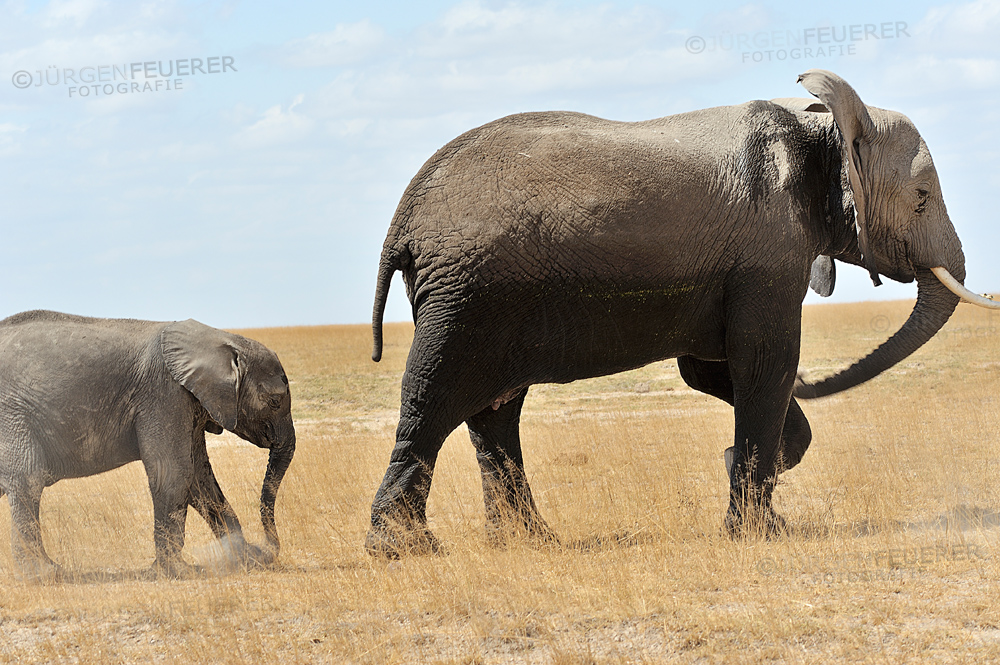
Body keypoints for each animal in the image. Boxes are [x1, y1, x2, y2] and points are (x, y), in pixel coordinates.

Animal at [0, 308, 294, 580]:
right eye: (275, 402)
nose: (262, 549)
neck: (220, 339)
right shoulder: (164, 393)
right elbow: (174, 472)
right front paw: (180, 571)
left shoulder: (188, 401)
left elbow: (200, 479)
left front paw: (243, 558)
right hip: (13, 416)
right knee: (28, 481)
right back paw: (44, 575)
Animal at [368, 68, 1000, 556]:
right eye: (921, 199)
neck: (822, 125)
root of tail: (404, 218)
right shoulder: (767, 256)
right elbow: (763, 365)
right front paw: (754, 530)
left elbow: (714, 371)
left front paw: (753, 490)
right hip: (467, 297)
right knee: (434, 401)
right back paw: (405, 551)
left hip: (482, 294)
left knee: (494, 412)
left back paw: (528, 542)